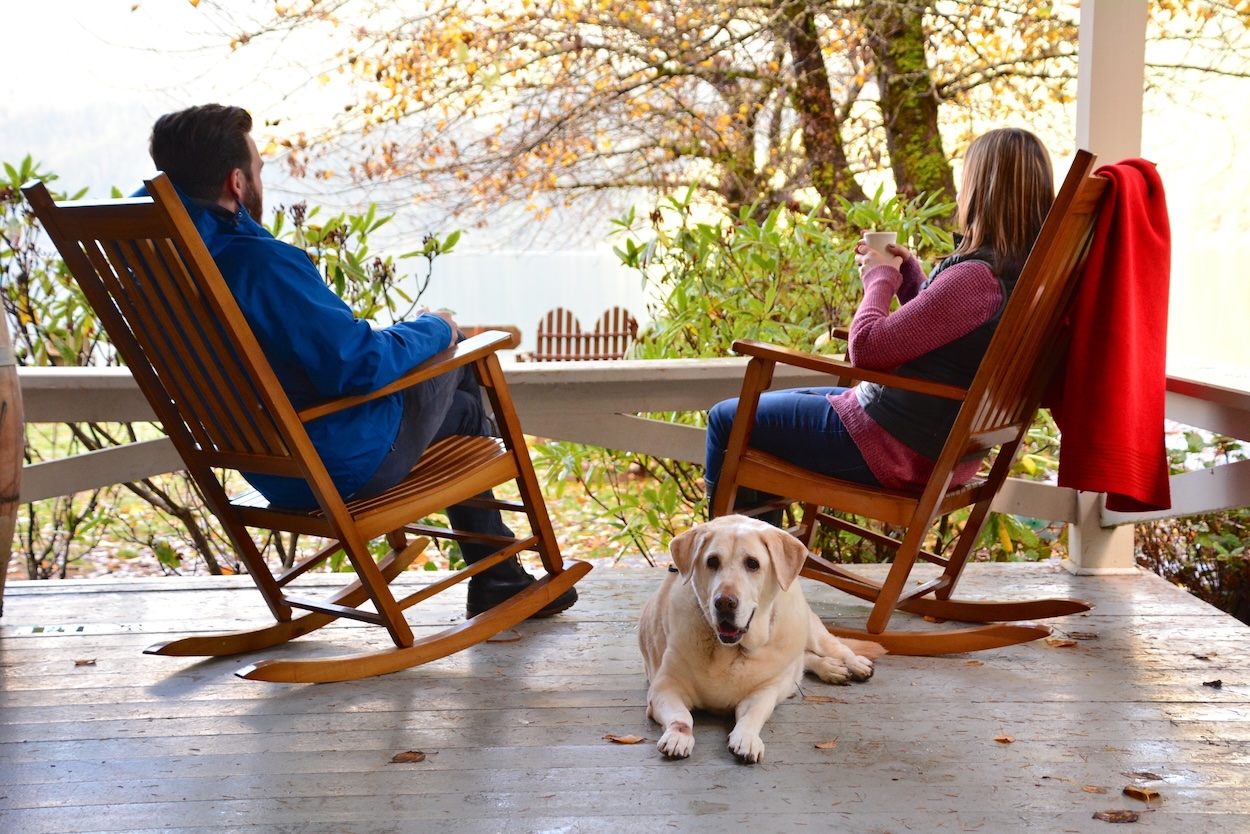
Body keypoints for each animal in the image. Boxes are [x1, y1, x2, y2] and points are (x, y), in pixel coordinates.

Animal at [640, 515, 885, 765]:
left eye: (752, 563)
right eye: (712, 561)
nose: (724, 602)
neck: (729, 649)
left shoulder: (763, 691)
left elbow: (752, 716)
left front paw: (746, 738)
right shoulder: (665, 687)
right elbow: (682, 716)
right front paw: (677, 736)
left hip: (812, 632)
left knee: (835, 647)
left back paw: (855, 664)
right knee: (805, 660)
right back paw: (830, 668)